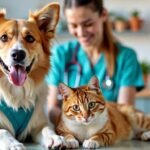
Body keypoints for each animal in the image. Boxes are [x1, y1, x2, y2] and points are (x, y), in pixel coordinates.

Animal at [0, 2, 65, 150]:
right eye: (3, 38)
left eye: (30, 38)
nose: (18, 54)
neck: (17, 91)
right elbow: (3, 132)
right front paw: (13, 144)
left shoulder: (38, 123)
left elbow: (47, 128)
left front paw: (55, 137)